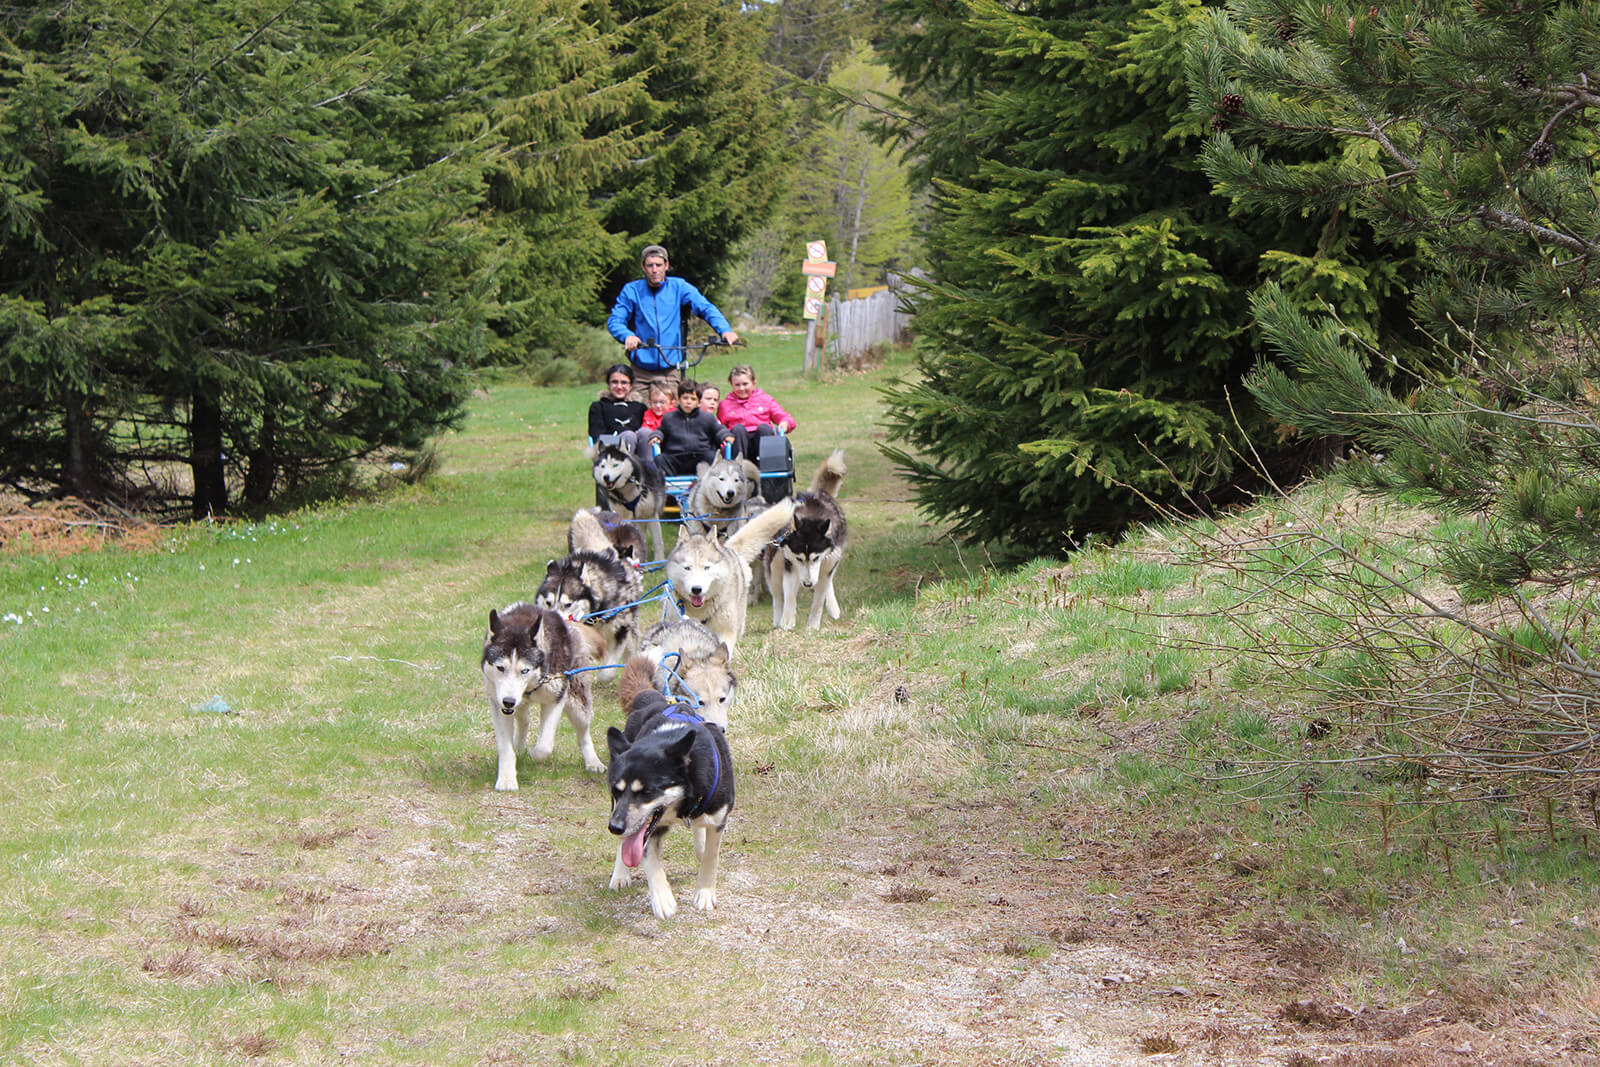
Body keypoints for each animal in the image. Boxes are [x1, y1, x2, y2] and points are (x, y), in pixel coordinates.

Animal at [480, 604, 604, 790]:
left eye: (525, 670)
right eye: (500, 668)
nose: (508, 701)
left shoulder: (556, 698)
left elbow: (544, 747)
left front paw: (533, 754)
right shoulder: (498, 703)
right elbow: (505, 748)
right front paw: (507, 778)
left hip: (578, 704)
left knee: (583, 733)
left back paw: (593, 762)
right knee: (524, 720)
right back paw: (519, 747)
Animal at [604, 652, 736, 921]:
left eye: (646, 791)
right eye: (617, 790)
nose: (614, 827)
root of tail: (652, 697)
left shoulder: (719, 819)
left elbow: (711, 856)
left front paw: (705, 892)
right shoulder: (645, 828)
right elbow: (650, 861)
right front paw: (662, 899)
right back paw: (621, 873)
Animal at [662, 495, 793, 655]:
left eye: (707, 567)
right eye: (687, 568)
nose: (696, 589)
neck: (700, 611)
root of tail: (728, 548)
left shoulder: (726, 632)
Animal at [764, 447, 844, 630]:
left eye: (815, 558)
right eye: (799, 559)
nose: (807, 585)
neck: (812, 514)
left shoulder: (828, 561)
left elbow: (819, 598)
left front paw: (813, 626)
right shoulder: (790, 564)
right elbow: (789, 595)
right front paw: (787, 621)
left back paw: (833, 607)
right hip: (775, 563)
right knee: (777, 595)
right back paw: (777, 619)